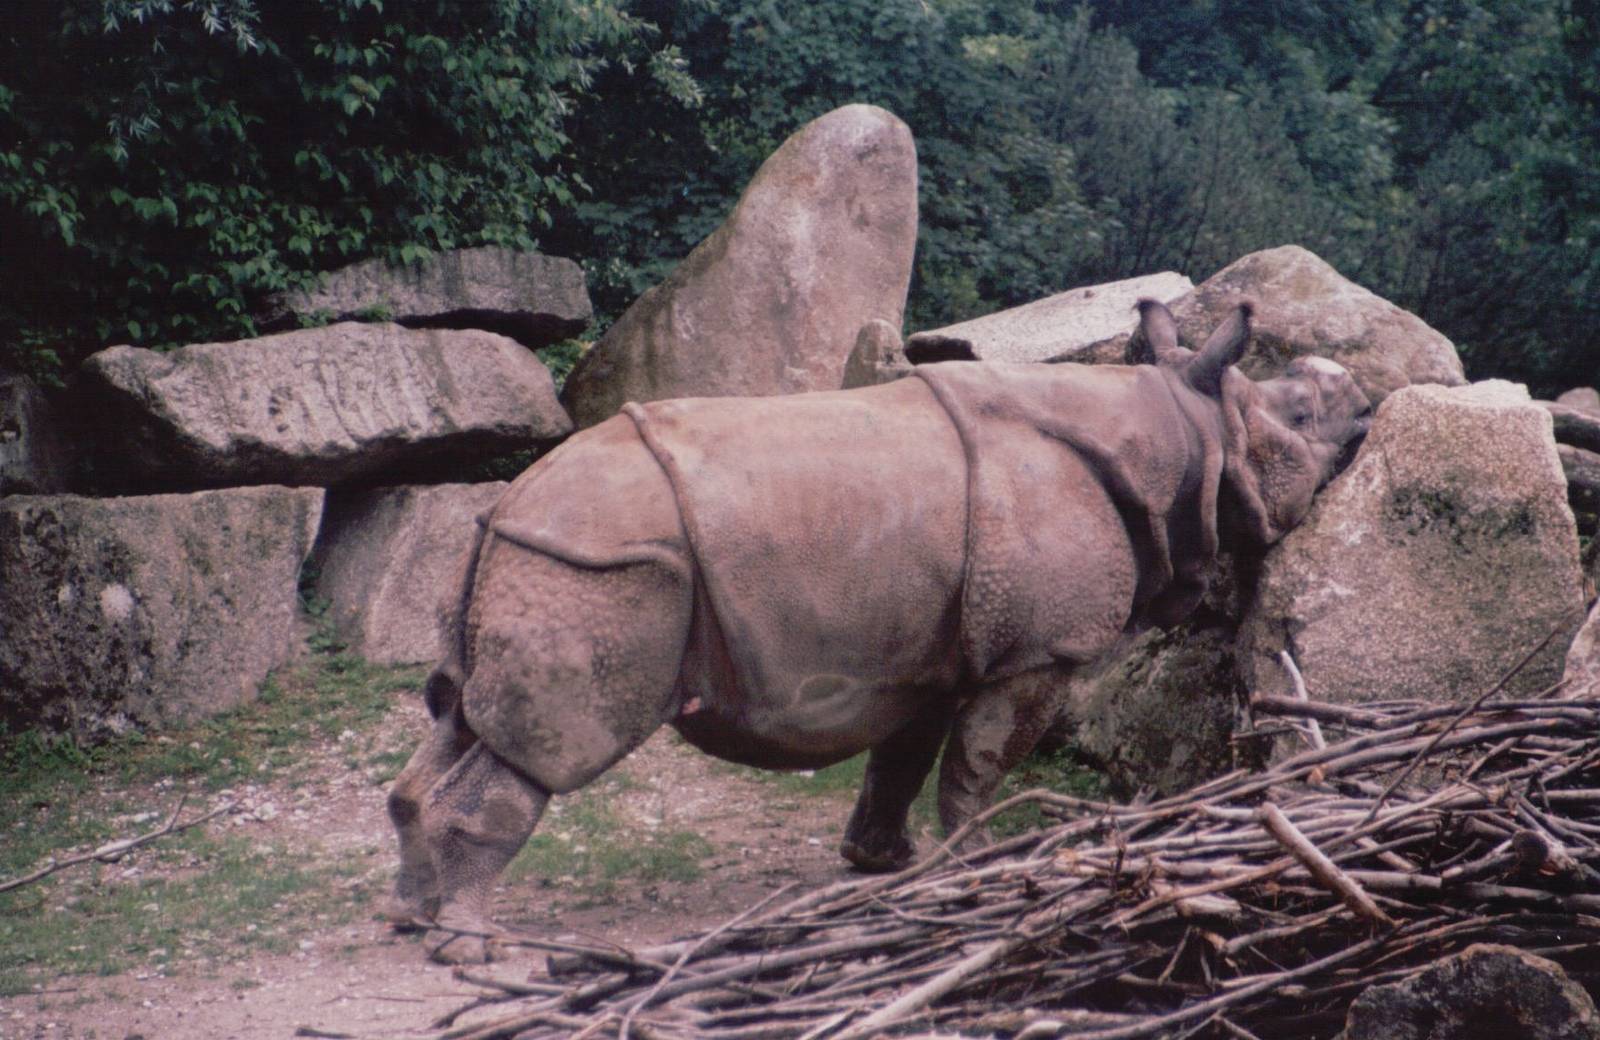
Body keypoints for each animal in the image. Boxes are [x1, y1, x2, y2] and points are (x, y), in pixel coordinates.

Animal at [386, 299, 1372, 962]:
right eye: (1299, 415)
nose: (1361, 401)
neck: (1185, 435)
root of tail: (505, 507)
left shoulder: (932, 648)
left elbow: (904, 758)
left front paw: (883, 866)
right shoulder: (1040, 653)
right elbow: (982, 762)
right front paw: (978, 867)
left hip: (538, 561)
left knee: (459, 719)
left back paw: (413, 916)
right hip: (598, 568)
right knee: (549, 745)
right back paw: (472, 950)